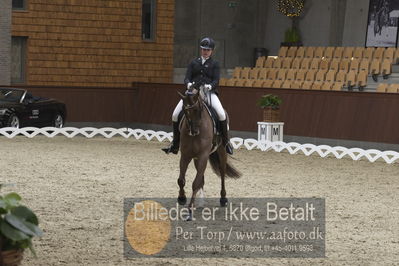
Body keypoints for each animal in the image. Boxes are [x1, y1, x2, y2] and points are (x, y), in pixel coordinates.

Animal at [177, 85, 242, 218]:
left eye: (198, 109)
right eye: (184, 111)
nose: (193, 131)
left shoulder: (203, 156)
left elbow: (195, 183)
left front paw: (189, 210)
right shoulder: (186, 155)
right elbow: (181, 180)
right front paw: (182, 198)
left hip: (221, 152)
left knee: (222, 174)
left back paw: (223, 199)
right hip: (196, 158)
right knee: (201, 176)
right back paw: (201, 202)